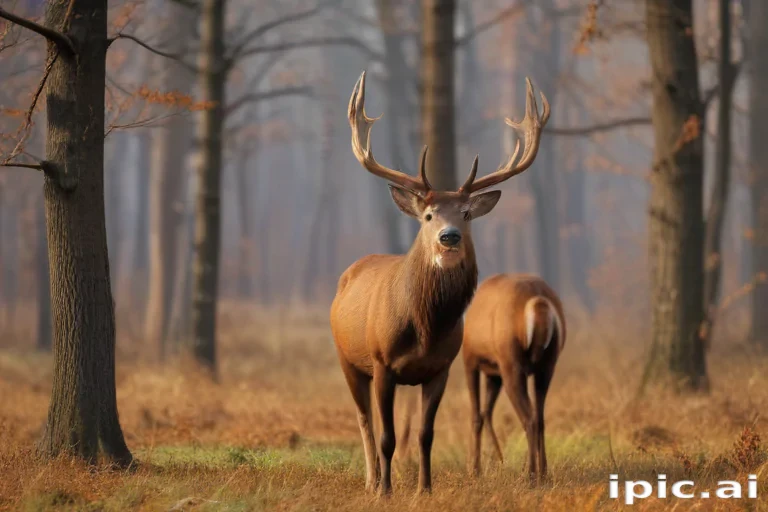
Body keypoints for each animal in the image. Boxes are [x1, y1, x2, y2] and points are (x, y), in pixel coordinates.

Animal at [330, 71, 550, 496]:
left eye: (466, 213)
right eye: (429, 215)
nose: (449, 237)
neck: (423, 330)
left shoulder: (441, 367)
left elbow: (425, 434)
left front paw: (424, 489)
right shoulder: (382, 363)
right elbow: (387, 436)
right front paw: (386, 490)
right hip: (347, 358)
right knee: (364, 421)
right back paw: (370, 480)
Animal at [462, 274, 566, 483]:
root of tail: (539, 302)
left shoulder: (470, 360)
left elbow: (476, 416)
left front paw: (475, 471)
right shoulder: (494, 372)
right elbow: (486, 412)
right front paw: (498, 462)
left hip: (512, 365)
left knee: (529, 418)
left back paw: (530, 476)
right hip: (546, 366)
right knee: (539, 418)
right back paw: (543, 472)